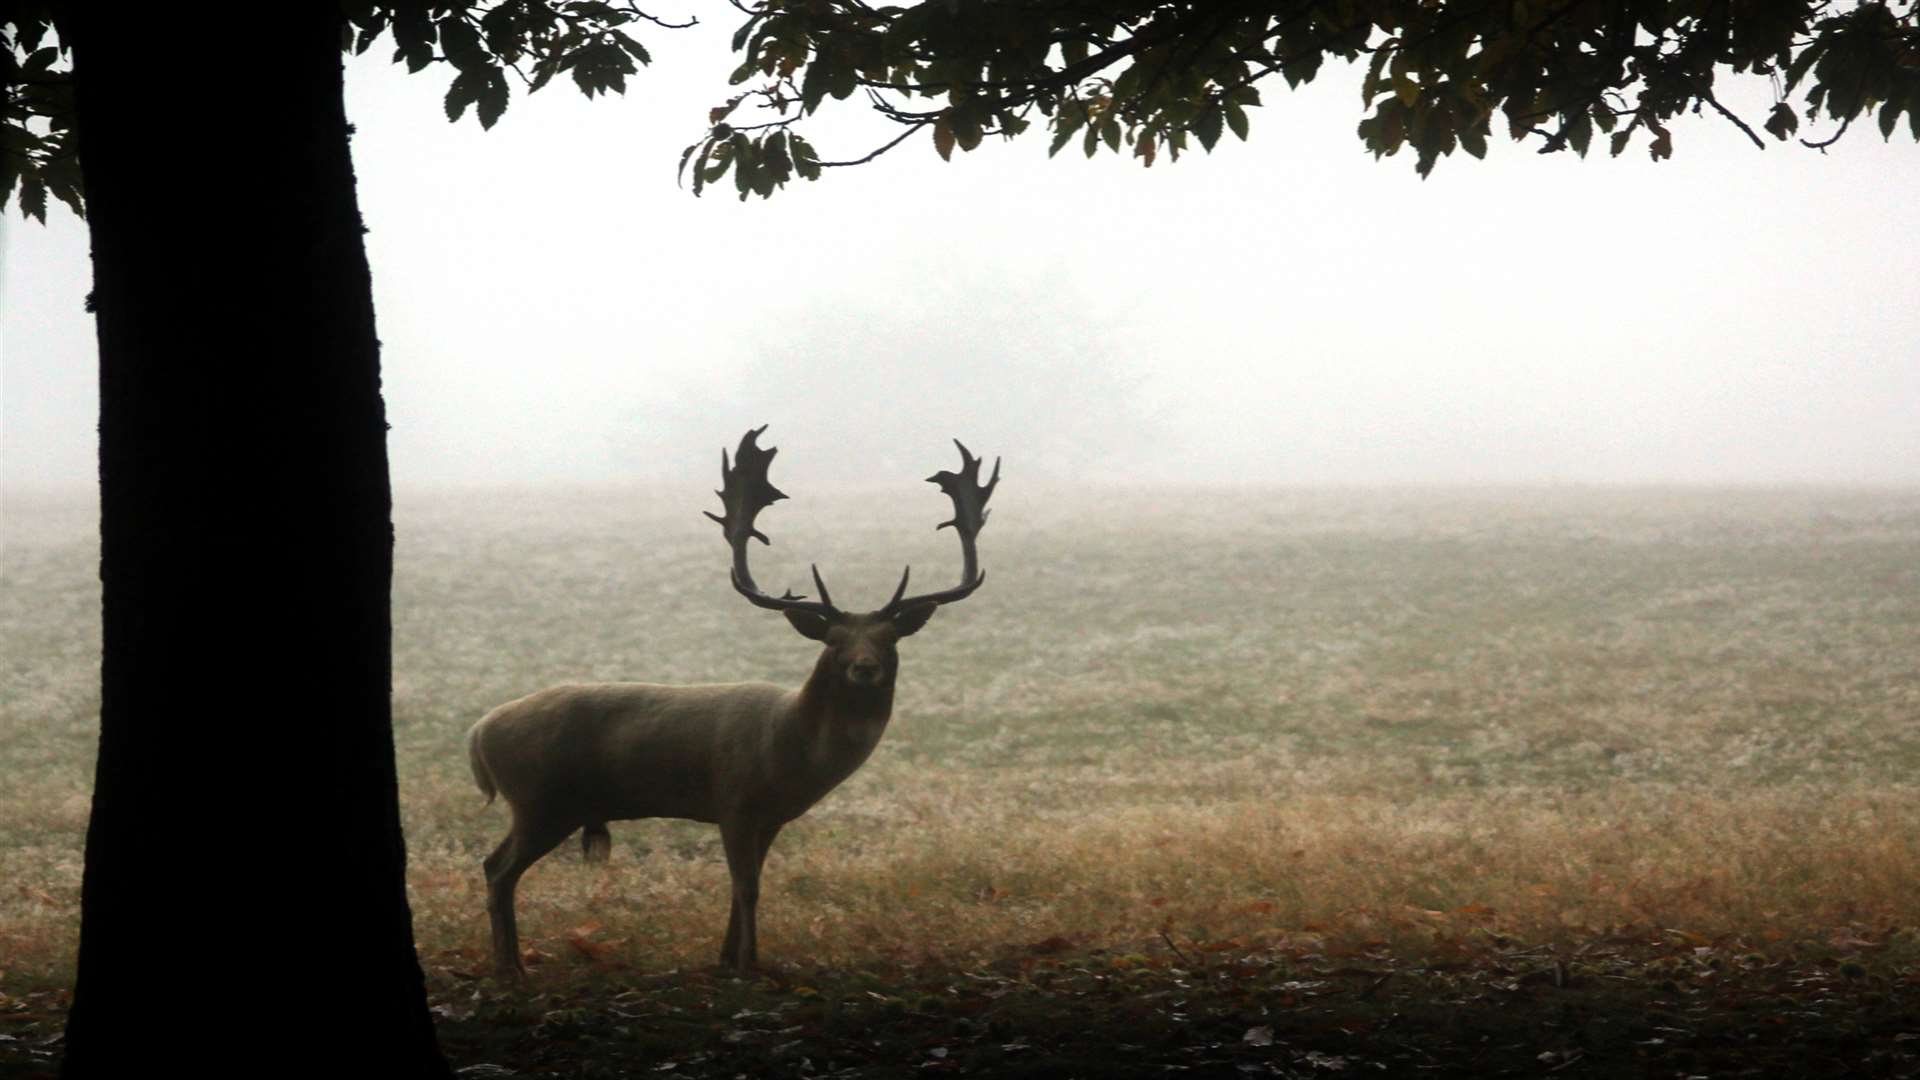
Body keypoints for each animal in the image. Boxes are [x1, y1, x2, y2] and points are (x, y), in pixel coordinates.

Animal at [470, 424, 998, 972]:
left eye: (889, 638)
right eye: (833, 640)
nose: (864, 668)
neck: (790, 751)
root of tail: (479, 733)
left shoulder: (770, 818)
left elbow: (746, 886)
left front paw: (726, 958)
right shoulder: (734, 799)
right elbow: (747, 888)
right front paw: (748, 964)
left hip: (546, 804)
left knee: (493, 865)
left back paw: (511, 963)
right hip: (539, 798)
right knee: (497, 869)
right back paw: (511, 967)